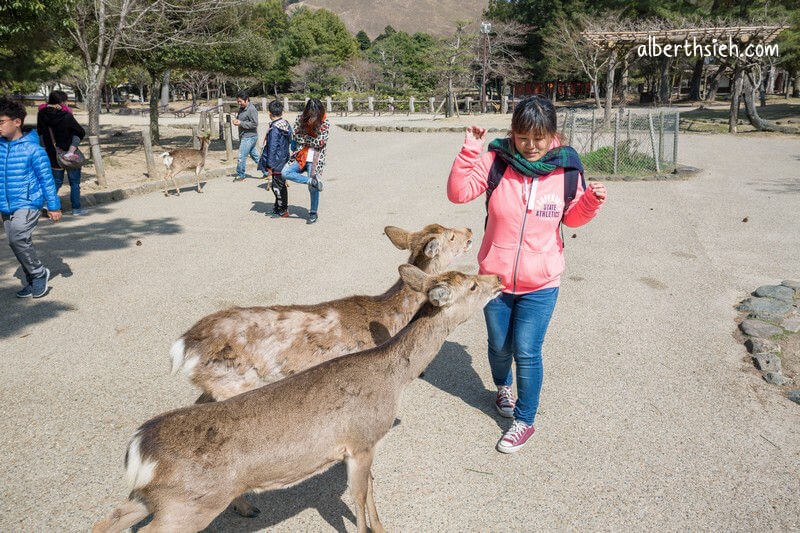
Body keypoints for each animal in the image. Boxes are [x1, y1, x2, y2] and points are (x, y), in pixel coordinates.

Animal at [92, 266, 500, 532]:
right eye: (473, 285)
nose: (497, 279)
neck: (392, 379)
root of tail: (139, 449)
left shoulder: (367, 444)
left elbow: (371, 493)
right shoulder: (360, 440)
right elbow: (361, 500)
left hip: (156, 497)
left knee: (108, 519)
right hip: (190, 503)